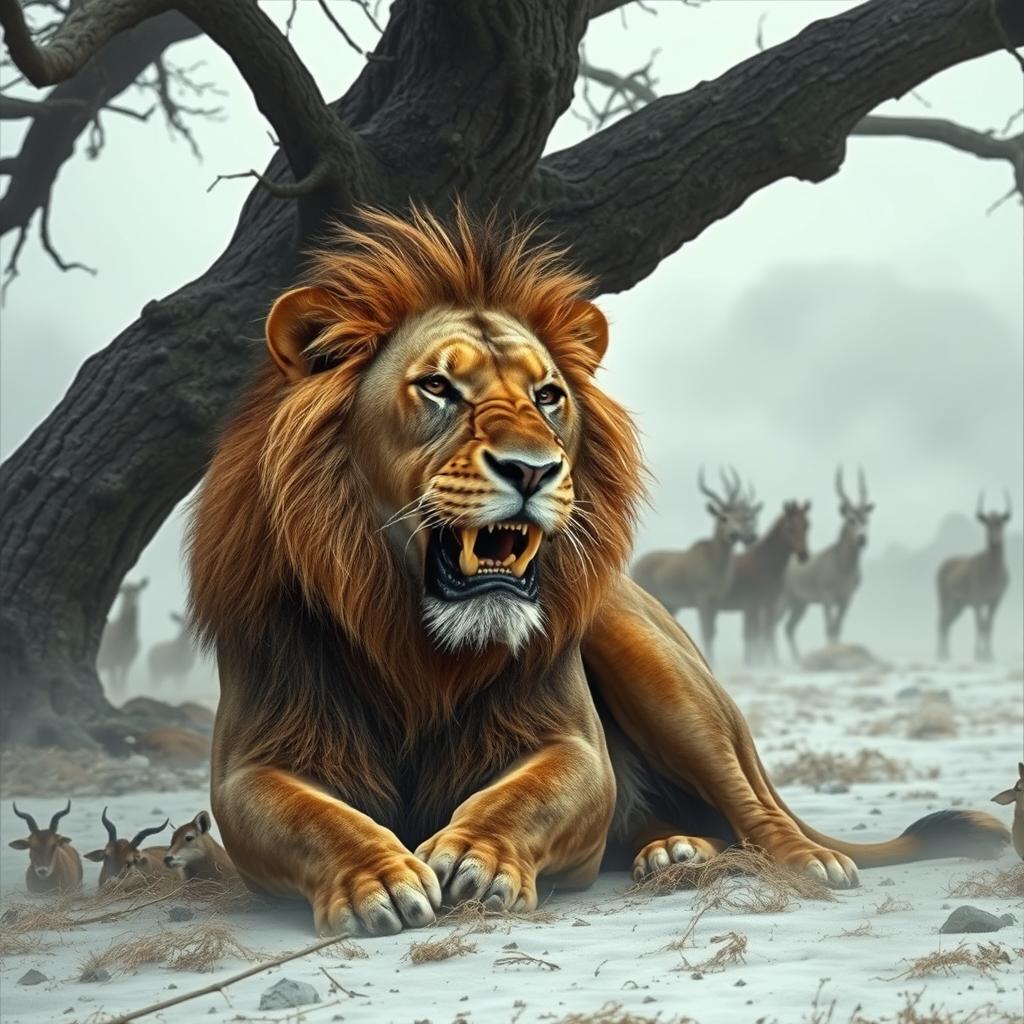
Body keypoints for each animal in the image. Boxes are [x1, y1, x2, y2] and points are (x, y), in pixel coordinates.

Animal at [188, 207, 1008, 936]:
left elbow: (528, 795)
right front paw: (378, 877)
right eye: (438, 388)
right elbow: (310, 815)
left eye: (547, 395)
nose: (533, 469)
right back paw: (673, 850)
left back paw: (800, 859)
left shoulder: (577, 746)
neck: (418, 645)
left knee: (754, 806)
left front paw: (478, 858)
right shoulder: (246, 766)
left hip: (653, 666)